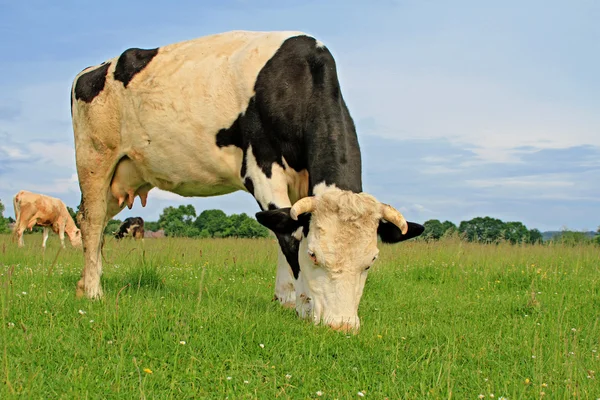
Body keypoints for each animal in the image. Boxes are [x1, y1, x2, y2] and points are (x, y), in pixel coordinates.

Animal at [70, 29, 424, 332]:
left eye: (371, 261)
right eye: (313, 255)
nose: (341, 326)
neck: (298, 78)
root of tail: (94, 69)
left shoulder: (301, 182)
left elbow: (284, 226)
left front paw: (285, 299)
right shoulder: (261, 167)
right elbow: (288, 234)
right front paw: (302, 304)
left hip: (122, 178)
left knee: (97, 226)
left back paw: (85, 284)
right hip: (95, 159)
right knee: (91, 220)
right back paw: (94, 291)